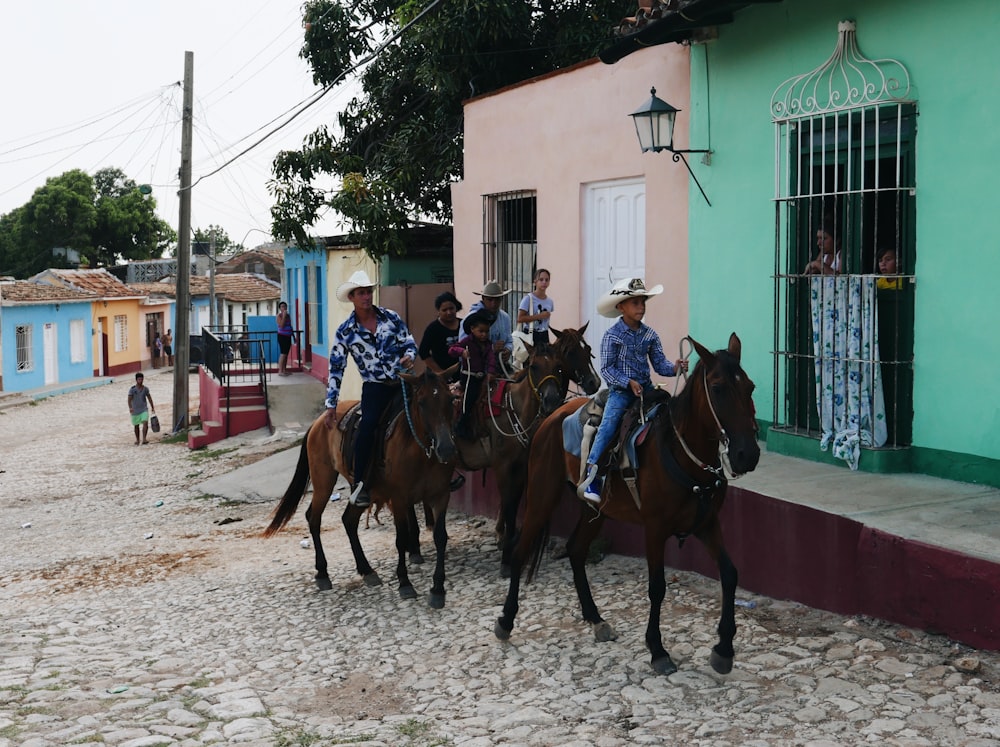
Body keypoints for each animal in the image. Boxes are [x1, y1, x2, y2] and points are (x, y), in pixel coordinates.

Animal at [262, 368, 458, 608]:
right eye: (421, 403)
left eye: (451, 399)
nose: (446, 449)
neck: (420, 453)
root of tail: (319, 421)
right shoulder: (400, 499)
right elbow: (401, 539)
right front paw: (404, 583)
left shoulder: (441, 495)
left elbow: (440, 537)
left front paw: (438, 588)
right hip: (323, 481)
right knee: (313, 517)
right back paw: (323, 573)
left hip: (363, 490)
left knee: (348, 520)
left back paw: (367, 570)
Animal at [458, 324, 596, 576]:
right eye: (571, 353)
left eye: (588, 349)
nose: (594, 382)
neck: (515, 408)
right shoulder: (503, 466)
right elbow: (510, 505)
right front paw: (506, 554)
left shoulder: (522, 466)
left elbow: (516, 501)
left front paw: (509, 541)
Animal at [496, 336, 760, 676]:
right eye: (717, 388)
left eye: (750, 387)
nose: (747, 454)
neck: (683, 454)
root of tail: (550, 417)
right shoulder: (655, 529)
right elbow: (657, 587)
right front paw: (658, 650)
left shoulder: (707, 523)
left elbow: (729, 574)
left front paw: (724, 648)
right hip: (542, 498)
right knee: (520, 551)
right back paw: (506, 620)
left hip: (595, 510)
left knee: (576, 550)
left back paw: (596, 619)